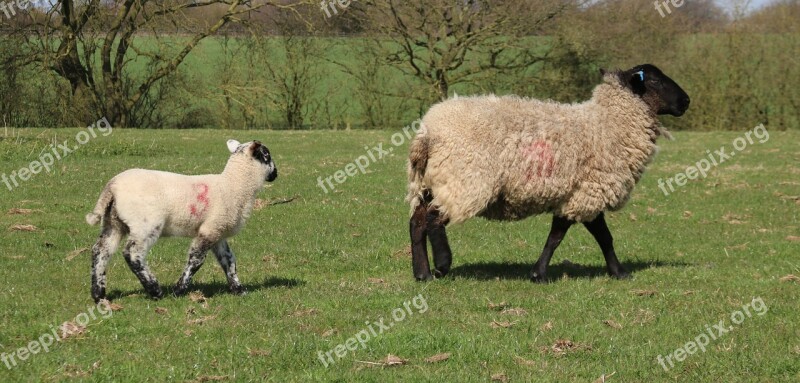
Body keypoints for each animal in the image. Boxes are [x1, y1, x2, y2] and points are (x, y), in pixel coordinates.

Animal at [85, 139, 278, 304]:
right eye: (266, 155)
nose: (276, 174)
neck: (233, 185)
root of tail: (112, 186)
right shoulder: (209, 230)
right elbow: (196, 260)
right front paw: (178, 290)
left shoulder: (217, 230)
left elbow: (229, 261)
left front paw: (239, 289)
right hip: (145, 224)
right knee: (132, 254)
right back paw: (155, 290)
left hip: (113, 223)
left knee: (100, 251)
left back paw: (99, 295)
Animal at [410, 64, 692, 284]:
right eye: (655, 80)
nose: (686, 101)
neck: (608, 122)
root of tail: (428, 131)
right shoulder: (588, 192)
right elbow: (579, 237)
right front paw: (618, 273)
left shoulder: (578, 193)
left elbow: (581, 235)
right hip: (463, 181)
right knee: (434, 220)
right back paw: (442, 264)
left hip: (432, 182)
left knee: (417, 222)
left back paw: (422, 274)